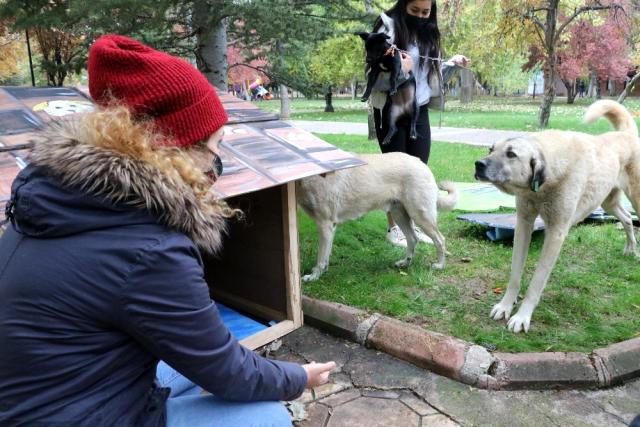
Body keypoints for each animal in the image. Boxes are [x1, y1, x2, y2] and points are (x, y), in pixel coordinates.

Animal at [298, 152, 458, 282]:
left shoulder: (324, 224)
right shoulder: (331, 227)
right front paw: (322, 272)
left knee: (440, 239)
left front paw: (314, 276)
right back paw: (405, 263)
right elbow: (326, 255)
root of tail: (421, 163)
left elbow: (320, 258)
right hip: (399, 215)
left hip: (420, 215)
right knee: (413, 239)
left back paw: (440, 265)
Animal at [476, 101, 640, 334]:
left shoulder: (555, 233)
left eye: (511, 154)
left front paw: (522, 317)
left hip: (635, 198)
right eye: (491, 150)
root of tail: (626, 133)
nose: (478, 164)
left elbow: (536, 281)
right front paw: (505, 305)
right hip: (607, 202)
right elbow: (515, 273)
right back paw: (630, 248)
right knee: (626, 218)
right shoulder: (523, 223)